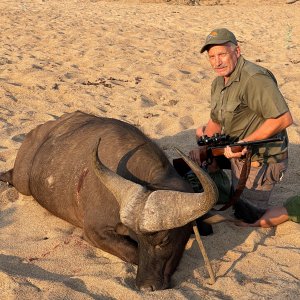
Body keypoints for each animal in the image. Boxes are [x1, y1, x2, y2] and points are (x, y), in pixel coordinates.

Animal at [0, 110, 217, 290]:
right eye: (139, 239)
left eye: (163, 240)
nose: (146, 287)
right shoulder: (94, 232)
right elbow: (133, 253)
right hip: (22, 182)